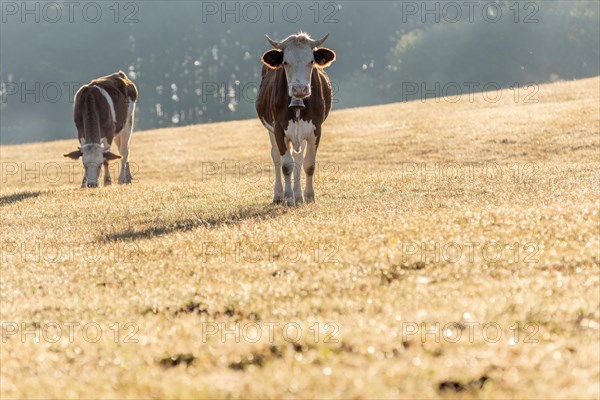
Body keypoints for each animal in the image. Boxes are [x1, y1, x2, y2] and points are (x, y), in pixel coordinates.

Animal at [255, 32, 336, 205]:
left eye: (311, 61)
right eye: (285, 62)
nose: (299, 89)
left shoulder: (316, 129)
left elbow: (308, 164)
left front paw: (308, 197)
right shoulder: (278, 129)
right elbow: (286, 166)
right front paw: (288, 197)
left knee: (298, 158)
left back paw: (298, 196)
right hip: (271, 131)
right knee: (276, 156)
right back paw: (279, 195)